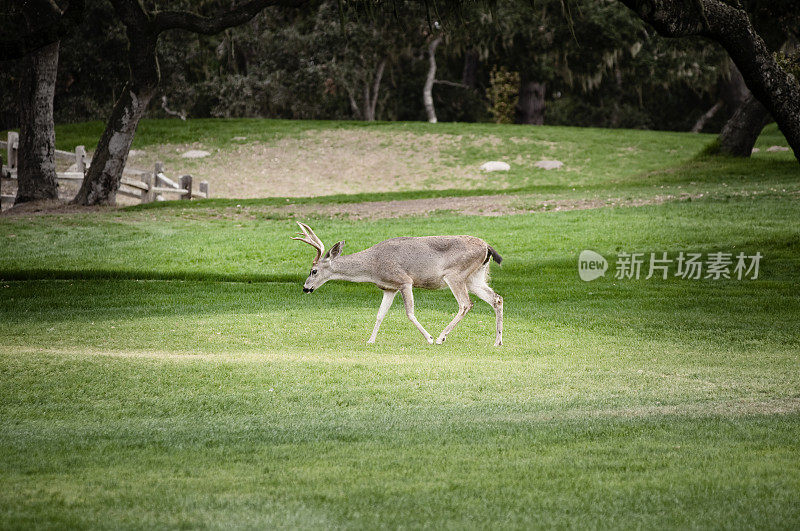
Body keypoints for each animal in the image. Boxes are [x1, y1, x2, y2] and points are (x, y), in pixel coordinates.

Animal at [292, 220, 506, 344]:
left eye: (313, 271)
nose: (305, 288)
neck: (373, 266)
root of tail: (487, 247)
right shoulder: (389, 288)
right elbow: (380, 314)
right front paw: (370, 341)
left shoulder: (404, 280)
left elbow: (409, 313)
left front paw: (428, 338)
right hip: (475, 277)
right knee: (497, 298)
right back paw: (497, 341)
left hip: (455, 275)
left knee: (465, 304)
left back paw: (440, 337)